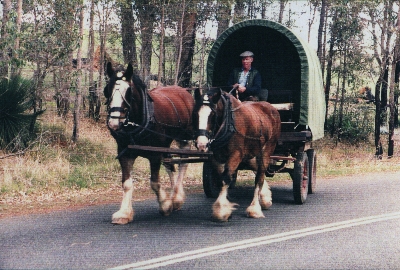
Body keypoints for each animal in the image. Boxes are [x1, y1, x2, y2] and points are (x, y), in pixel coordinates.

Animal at [104, 62, 195, 225]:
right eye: (108, 89)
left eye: (128, 91)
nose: (114, 123)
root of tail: (183, 91)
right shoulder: (125, 153)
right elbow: (127, 184)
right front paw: (124, 213)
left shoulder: (155, 154)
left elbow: (154, 182)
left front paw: (165, 205)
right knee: (170, 164)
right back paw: (174, 197)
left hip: (184, 138)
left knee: (183, 162)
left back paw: (177, 197)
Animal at [195, 88, 282, 221]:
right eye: (196, 113)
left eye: (212, 115)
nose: (201, 144)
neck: (229, 123)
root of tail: (271, 108)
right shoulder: (216, 157)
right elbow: (222, 178)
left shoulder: (236, 155)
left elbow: (226, 178)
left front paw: (221, 210)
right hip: (251, 153)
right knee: (256, 168)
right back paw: (265, 197)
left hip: (267, 149)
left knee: (260, 175)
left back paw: (254, 208)